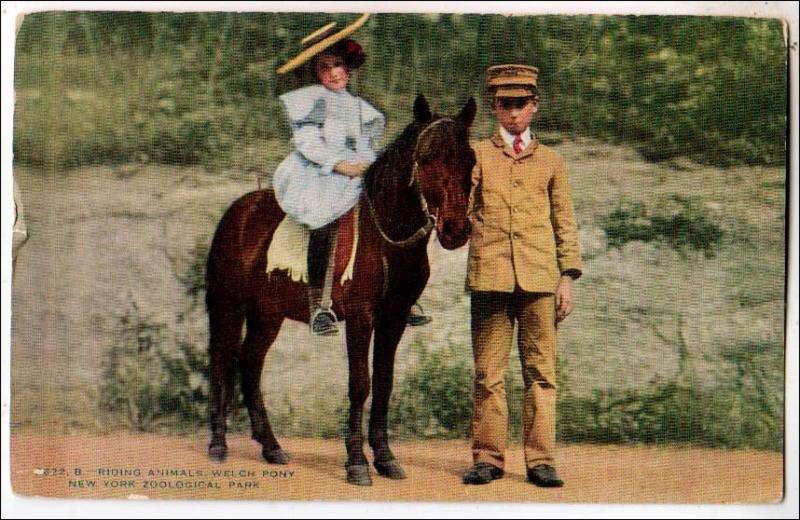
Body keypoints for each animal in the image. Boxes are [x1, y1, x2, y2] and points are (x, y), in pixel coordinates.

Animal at [203, 95, 476, 486]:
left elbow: (384, 381)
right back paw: (218, 445)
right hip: (228, 306)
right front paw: (357, 462)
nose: (456, 230)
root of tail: (240, 210)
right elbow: (360, 383)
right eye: (426, 158)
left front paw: (385, 458)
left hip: (267, 315)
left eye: (470, 160)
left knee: (250, 363)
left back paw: (271, 447)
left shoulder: (393, 319)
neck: (385, 237)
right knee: (222, 361)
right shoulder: (362, 318)